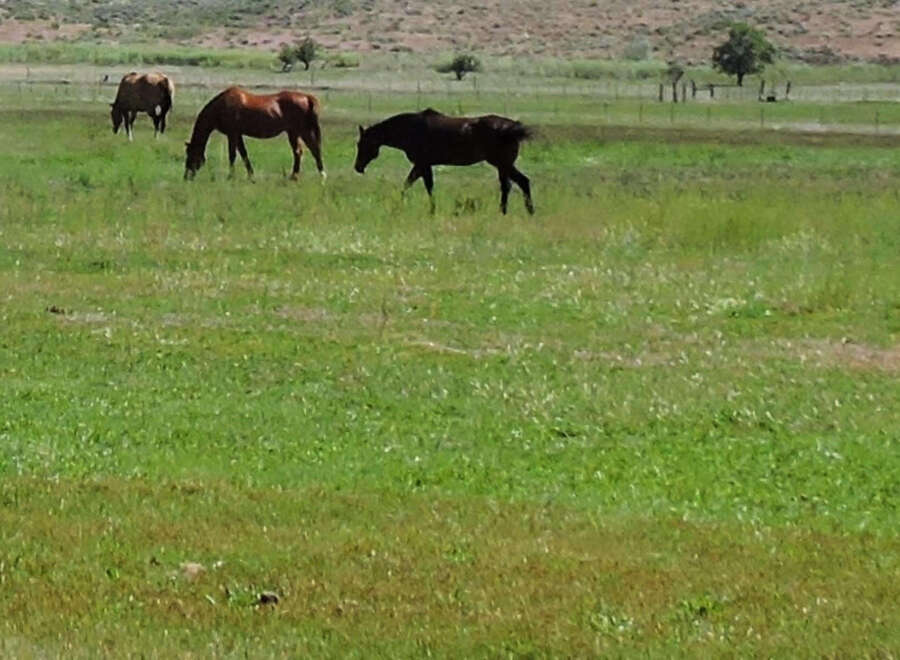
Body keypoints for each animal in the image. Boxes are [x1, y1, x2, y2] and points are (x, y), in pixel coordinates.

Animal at [184, 86, 325, 181]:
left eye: (191, 154)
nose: (186, 177)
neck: (221, 106)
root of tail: (307, 97)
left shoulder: (232, 134)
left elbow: (232, 155)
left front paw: (231, 177)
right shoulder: (238, 135)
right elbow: (244, 154)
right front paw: (251, 176)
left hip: (302, 131)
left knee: (313, 150)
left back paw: (320, 175)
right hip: (294, 132)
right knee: (301, 151)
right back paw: (296, 176)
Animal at [354, 108, 534, 215]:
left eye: (362, 144)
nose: (358, 167)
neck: (410, 130)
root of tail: (513, 128)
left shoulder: (422, 164)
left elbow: (423, 186)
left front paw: (428, 210)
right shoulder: (422, 165)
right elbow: (411, 185)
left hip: (502, 164)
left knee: (517, 183)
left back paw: (523, 211)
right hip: (503, 165)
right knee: (512, 184)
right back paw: (512, 211)